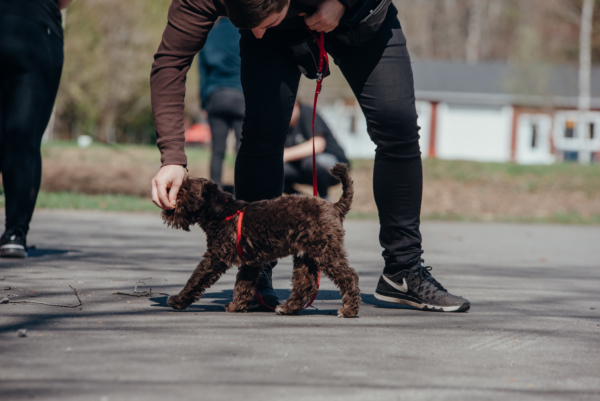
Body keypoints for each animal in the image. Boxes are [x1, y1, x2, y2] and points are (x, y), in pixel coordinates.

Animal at [163, 162, 360, 316]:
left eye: (183, 190)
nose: (168, 194)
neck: (222, 212)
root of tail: (335, 207)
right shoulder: (251, 263)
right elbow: (243, 284)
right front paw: (237, 306)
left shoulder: (215, 257)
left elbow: (196, 279)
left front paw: (178, 300)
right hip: (306, 256)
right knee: (305, 284)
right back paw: (288, 308)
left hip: (326, 251)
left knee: (349, 276)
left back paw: (349, 310)